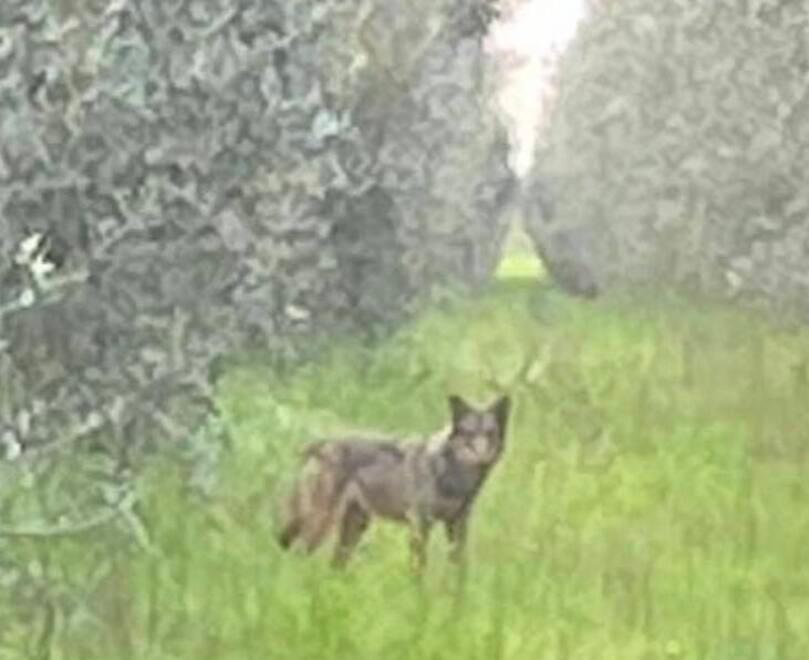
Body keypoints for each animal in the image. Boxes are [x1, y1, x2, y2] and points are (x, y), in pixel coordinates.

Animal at [276, 394, 511, 572]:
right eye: (470, 435)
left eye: (490, 434)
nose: (482, 457)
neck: (452, 477)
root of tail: (321, 445)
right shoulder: (420, 525)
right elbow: (418, 569)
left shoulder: (458, 526)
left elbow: (459, 569)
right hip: (322, 525)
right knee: (297, 556)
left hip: (353, 529)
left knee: (334, 566)